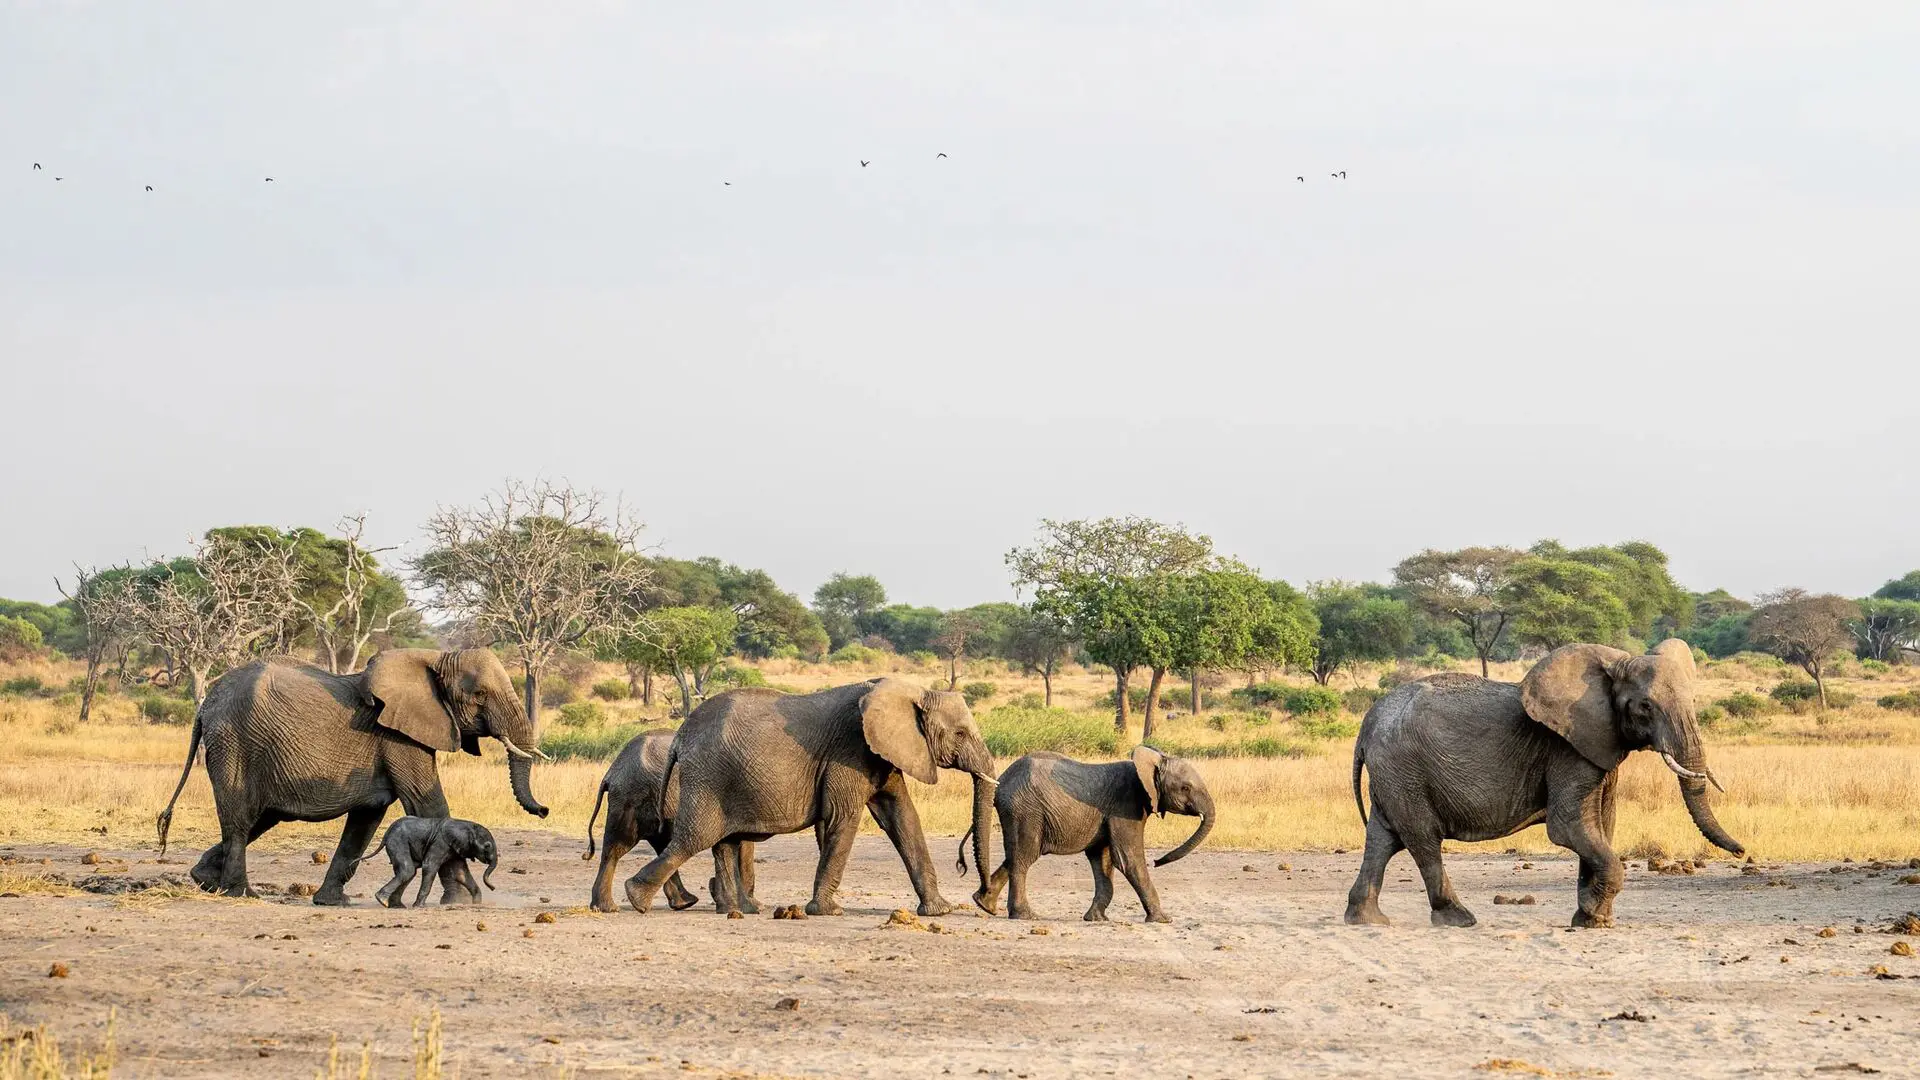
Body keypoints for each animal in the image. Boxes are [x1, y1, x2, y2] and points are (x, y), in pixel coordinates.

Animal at [348, 816, 499, 908]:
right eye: (487, 846)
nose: (493, 888)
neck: (466, 824)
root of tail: (386, 834)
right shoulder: (440, 843)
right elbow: (430, 866)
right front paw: (419, 907)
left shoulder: (455, 849)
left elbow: (460, 873)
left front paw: (477, 903)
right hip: (398, 841)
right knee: (408, 870)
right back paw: (382, 900)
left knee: (408, 872)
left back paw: (396, 906)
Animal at [583, 729, 758, 914]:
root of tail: (611, 773)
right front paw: (752, 905)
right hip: (631, 797)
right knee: (619, 846)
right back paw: (609, 907)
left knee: (649, 844)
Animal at [622, 678, 997, 917]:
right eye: (960, 734)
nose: (983, 899)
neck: (912, 691)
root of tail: (680, 736)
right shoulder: (850, 751)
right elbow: (842, 818)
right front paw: (827, 911)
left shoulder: (884, 753)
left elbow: (902, 818)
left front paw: (940, 911)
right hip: (708, 776)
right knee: (694, 838)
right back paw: (637, 899)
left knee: (724, 842)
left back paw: (738, 910)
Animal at [961, 746, 1215, 923]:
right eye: (1185, 788)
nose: (1157, 861)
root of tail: (1001, 782)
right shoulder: (1126, 806)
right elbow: (1128, 860)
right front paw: (1163, 920)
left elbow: (1102, 860)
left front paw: (1096, 919)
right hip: (1025, 811)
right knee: (1024, 857)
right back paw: (1025, 916)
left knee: (1015, 855)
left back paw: (984, 904)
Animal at [1344, 639, 1744, 929]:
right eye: (1645, 706)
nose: (1742, 852)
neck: (1613, 665)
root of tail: (1367, 725)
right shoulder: (1566, 748)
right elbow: (1569, 827)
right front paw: (1595, 916)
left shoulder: (1598, 745)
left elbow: (1602, 825)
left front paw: (1589, 918)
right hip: (1405, 770)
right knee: (1423, 840)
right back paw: (1459, 919)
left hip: (1394, 774)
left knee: (1382, 839)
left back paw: (1367, 921)